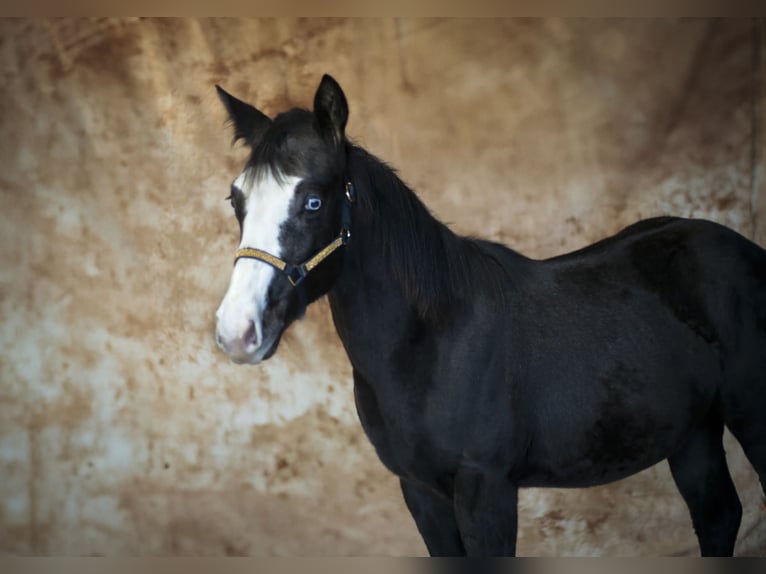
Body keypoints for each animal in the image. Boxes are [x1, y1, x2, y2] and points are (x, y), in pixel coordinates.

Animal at [212, 74, 766, 556]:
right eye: (236, 199)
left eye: (312, 201)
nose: (237, 331)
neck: (432, 347)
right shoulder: (420, 491)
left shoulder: (487, 490)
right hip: (694, 431)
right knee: (718, 516)